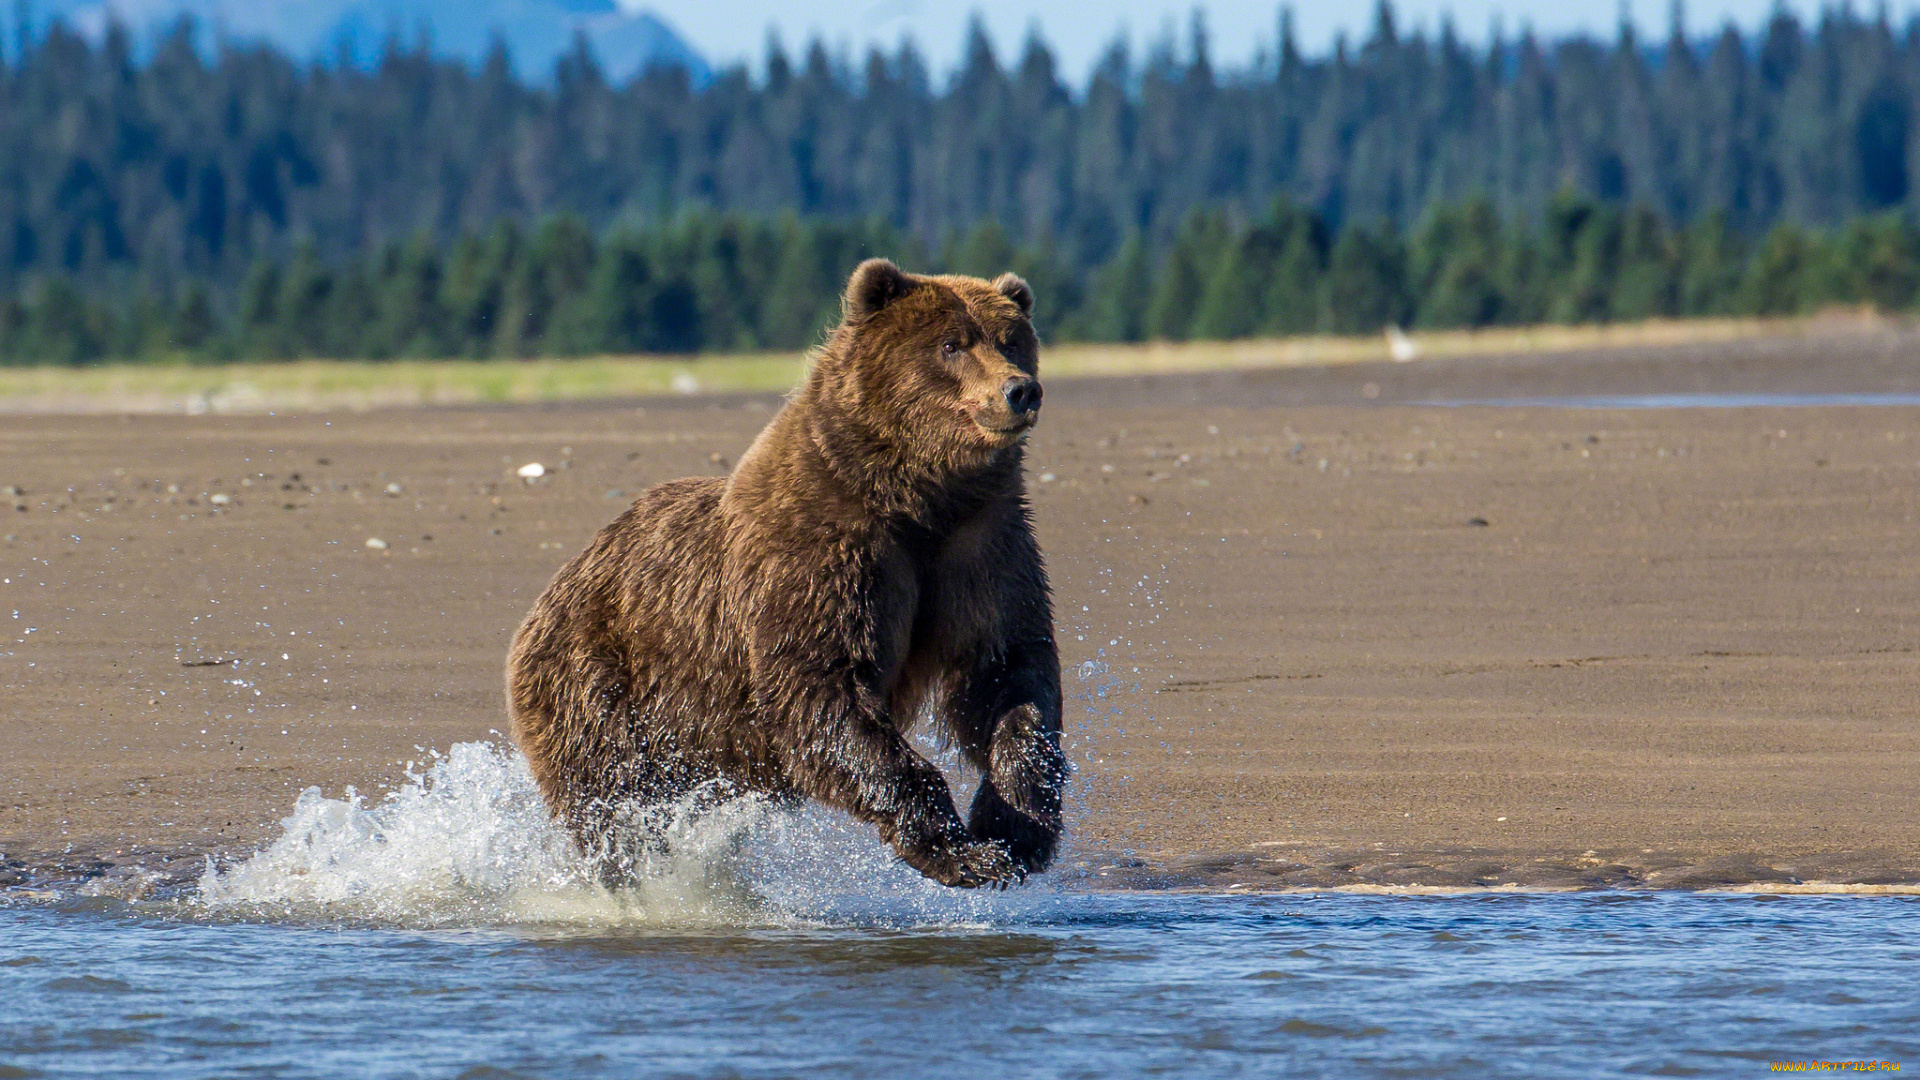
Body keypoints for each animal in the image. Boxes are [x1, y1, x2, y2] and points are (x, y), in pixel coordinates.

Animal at [506, 259, 1067, 883]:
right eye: (951, 344)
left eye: (1012, 340)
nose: (1020, 390)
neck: (916, 498)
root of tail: (553, 587)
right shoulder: (821, 553)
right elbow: (819, 687)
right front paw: (961, 851)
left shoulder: (981, 546)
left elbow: (1007, 674)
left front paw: (1015, 829)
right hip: (601, 685)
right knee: (614, 800)